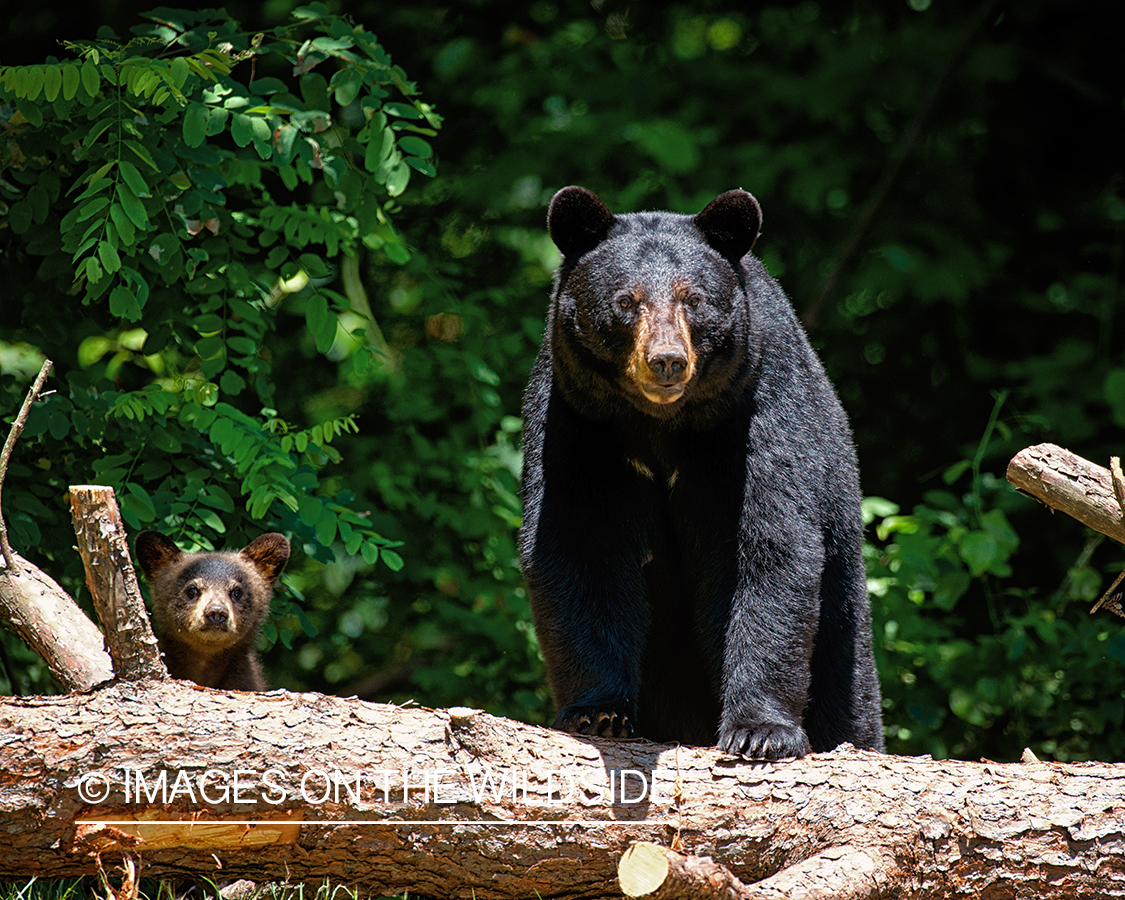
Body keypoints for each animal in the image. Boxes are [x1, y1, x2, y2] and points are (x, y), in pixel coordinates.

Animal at [518, 186, 883, 760]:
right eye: (626, 301)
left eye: (693, 299)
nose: (666, 360)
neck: (660, 425)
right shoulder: (576, 422)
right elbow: (580, 544)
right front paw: (599, 712)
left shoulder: (753, 413)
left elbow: (764, 548)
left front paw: (760, 730)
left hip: (845, 631)